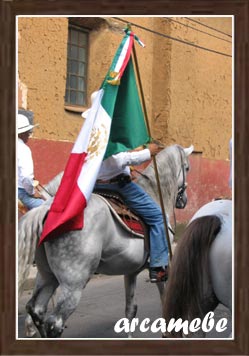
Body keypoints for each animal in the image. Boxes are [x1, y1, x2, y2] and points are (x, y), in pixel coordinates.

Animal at [19, 144, 195, 336]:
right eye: (187, 168)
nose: (183, 201)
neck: (156, 196)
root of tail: (47, 208)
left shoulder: (131, 271)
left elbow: (130, 310)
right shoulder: (163, 266)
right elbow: (165, 300)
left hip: (46, 275)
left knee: (35, 311)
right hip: (73, 284)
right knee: (54, 322)